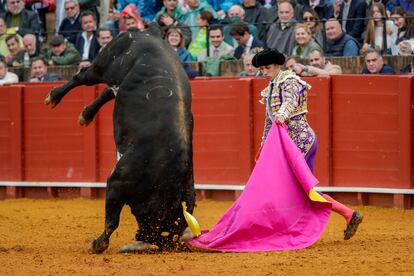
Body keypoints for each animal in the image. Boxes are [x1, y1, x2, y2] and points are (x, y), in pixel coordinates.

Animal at [44, 24, 196, 253]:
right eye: (162, 227)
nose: (146, 239)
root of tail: (148, 32)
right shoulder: (116, 181)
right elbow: (112, 221)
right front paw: (98, 244)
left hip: (118, 78)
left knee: (110, 90)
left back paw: (86, 115)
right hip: (105, 64)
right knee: (83, 76)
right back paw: (54, 97)